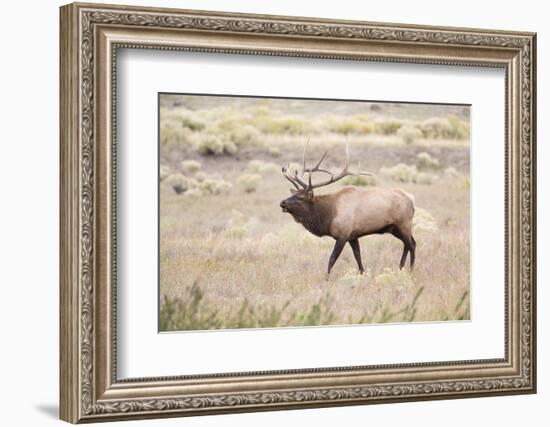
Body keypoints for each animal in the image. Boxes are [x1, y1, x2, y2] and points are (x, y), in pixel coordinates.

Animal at [282, 142, 416, 280]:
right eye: (293, 194)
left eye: (300, 198)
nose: (282, 202)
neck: (328, 216)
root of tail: (411, 199)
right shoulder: (353, 236)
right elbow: (358, 257)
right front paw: (362, 275)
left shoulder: (343, 234)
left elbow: (332, 259)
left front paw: (326, 279)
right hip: (394, 228)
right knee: (408, 244)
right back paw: (401, 267)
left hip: (403, 224)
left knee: (412, 244)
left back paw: (410, 271)